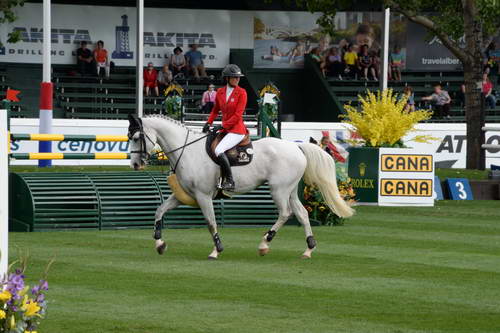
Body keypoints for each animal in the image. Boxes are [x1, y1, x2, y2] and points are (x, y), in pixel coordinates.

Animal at [129, 115, 356, 260]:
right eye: (130, 137)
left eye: (137, 138)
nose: (135, 164)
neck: (188, 151)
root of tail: (295, 146)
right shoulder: (183, 195)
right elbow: (159, 210)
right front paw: (159, 243)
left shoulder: (203, 196)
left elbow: (211, 222)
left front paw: (216, 250)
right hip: (290, 190)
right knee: (302, 213)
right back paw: (308, 249)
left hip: (279, 190)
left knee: (285, 213)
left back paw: (265, 243)